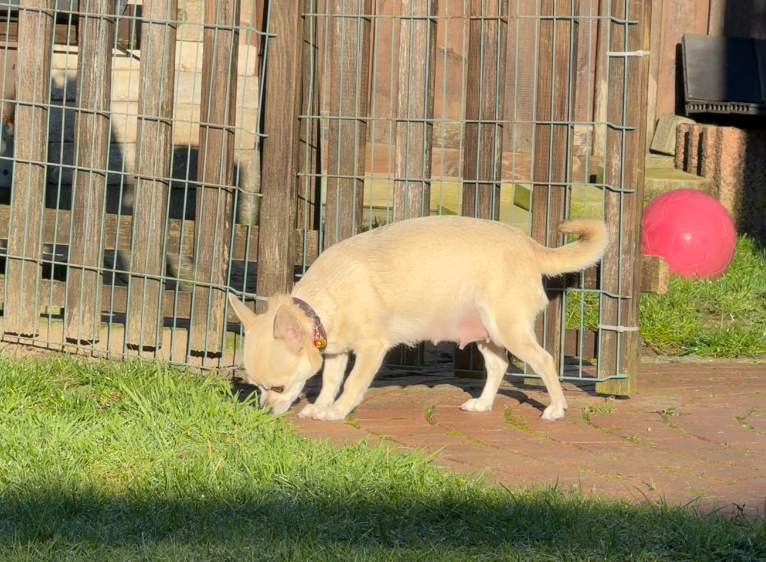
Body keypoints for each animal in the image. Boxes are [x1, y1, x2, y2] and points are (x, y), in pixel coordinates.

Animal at [228, 215, 607, 421]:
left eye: (277, 388)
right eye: (256, 388)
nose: (263, 410)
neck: (323, 301)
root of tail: (531, 246)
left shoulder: (371, 349)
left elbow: (351, 384)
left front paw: (337, 411)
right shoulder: (335, 352)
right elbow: (330, 383)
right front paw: (319, 407)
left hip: (507, 328)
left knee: (544, 360)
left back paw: (556, 408)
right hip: (485, 331)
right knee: (498, 364)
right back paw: (484, 403)